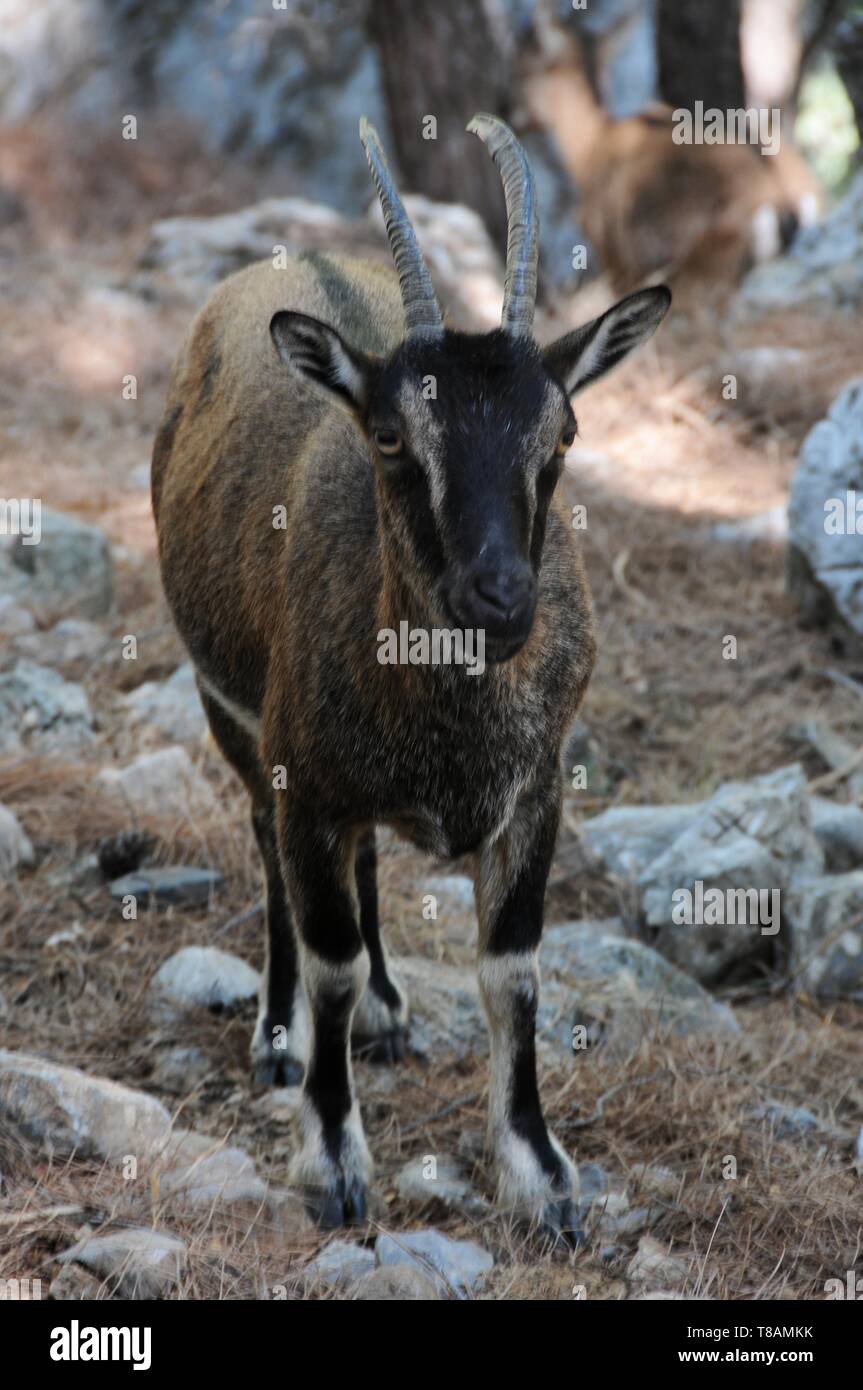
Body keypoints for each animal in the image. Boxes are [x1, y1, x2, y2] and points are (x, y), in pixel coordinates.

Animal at [151, 113, 670, 1240]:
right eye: (392, 436)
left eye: (561, 433)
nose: (500, 597)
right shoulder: (306, 779)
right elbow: (330, 958)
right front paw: (331, 1160)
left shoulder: (536, 787)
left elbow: (510, 969)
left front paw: (538, 1173)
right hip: (234, 716)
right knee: (271, 852)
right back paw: (278, 1035)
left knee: (368, 868)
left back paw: (390, 1014)